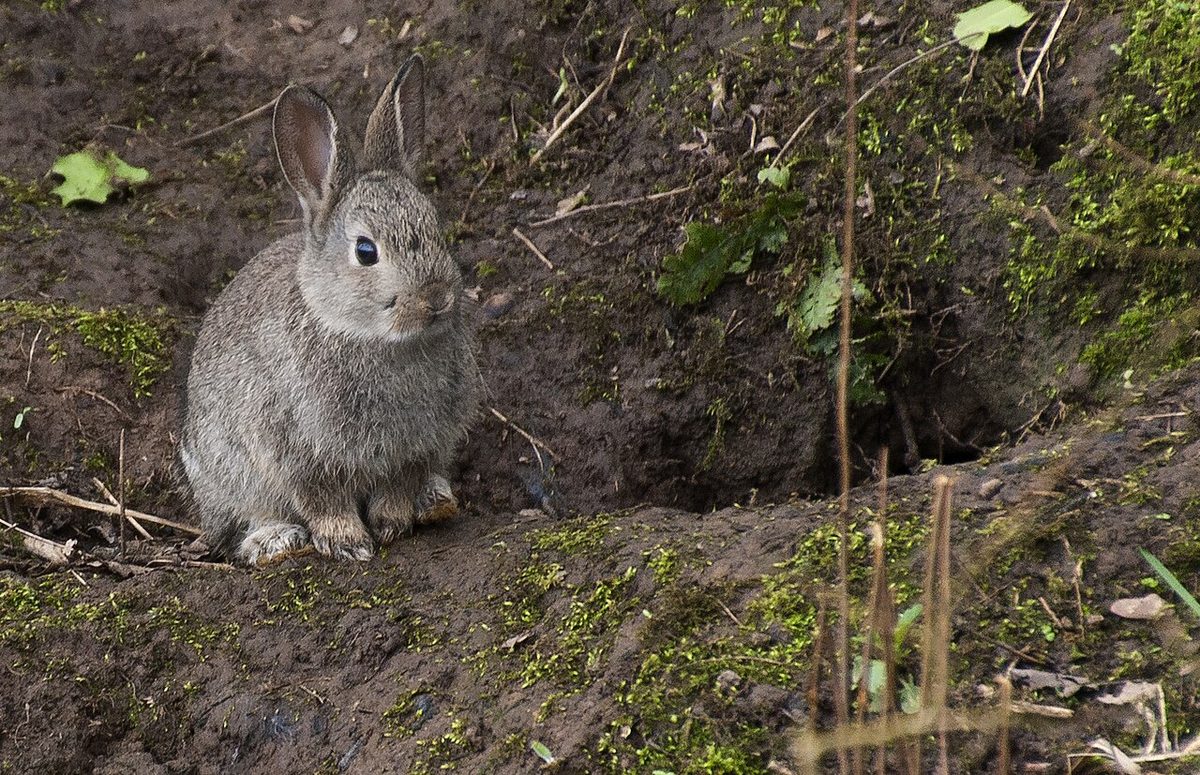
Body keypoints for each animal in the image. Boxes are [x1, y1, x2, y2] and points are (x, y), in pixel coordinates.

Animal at [180, 56, 478, 564]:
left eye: (435, 228)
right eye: (365, 251)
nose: (437, 299)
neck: (364, 334)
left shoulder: (414, 449)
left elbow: (397, 487)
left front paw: (392, 524)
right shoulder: (298, 450)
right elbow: (323, 499)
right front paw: (348, 543)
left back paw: (435, 501)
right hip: (224, 470)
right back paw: (275, 542)